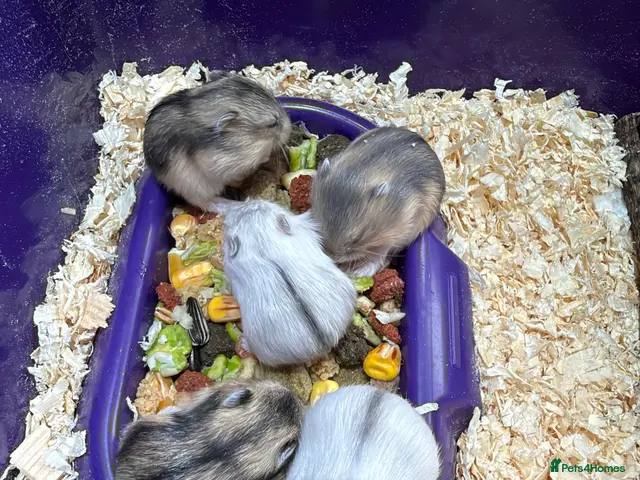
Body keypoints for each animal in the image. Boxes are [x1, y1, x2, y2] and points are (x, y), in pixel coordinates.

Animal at [143, 71, 292, 212]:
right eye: (273, 123)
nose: (289, 129)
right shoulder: (225, 163)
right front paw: (267, 156)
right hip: (193, 186)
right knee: (208, 204)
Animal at [311, 126, 446, 277]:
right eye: (320, 226)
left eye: (357, 239)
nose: (332, 257)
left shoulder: (399, 230)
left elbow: (382, 250)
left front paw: (357, 271)